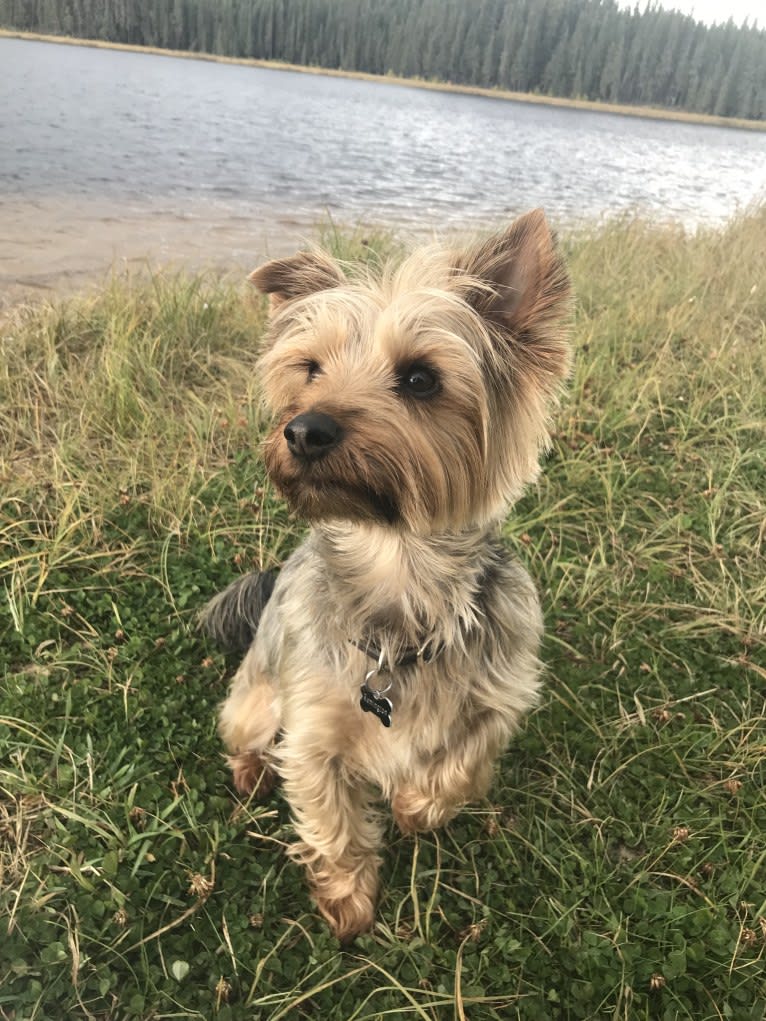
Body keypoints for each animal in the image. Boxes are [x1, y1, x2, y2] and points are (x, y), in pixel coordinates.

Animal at [201, 209, 571, 939]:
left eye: (421, 378)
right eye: (310, 369)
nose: (303, 430)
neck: (396, 564)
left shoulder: (503, 691)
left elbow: (465, 761)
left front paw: (417, 806)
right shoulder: (313, 732)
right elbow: (331, 817)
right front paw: (347, 899)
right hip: (256, 697)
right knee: (244, 734)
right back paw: (251, 770)